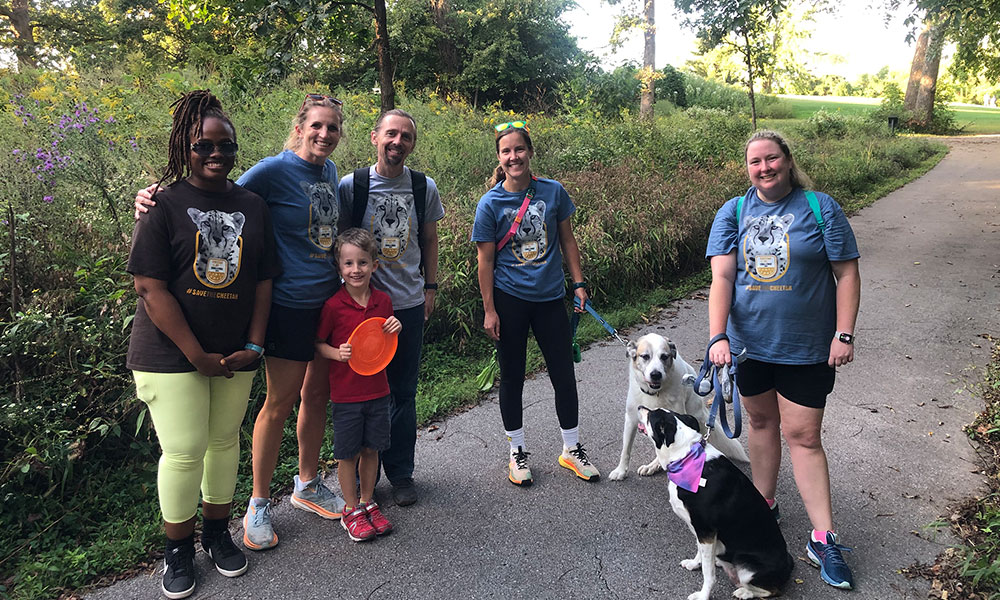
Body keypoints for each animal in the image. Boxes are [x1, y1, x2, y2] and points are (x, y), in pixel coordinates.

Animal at [608, 333, 748, 481]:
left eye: (664, 356)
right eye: (645, 356)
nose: (656, 374)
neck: (655, 393)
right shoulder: (631, 419)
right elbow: (626, 449)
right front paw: (621, 470)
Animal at [637, 407, 793, 600]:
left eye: (651, 415)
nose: (640, 407)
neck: (686, 458)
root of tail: (788, 564)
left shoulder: (705, 530)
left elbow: (708, 573)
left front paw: (703, 595)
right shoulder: (702, 532)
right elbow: (701, 555)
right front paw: (695, 563)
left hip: (746, 568)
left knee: (771, 590)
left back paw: (744, 592)